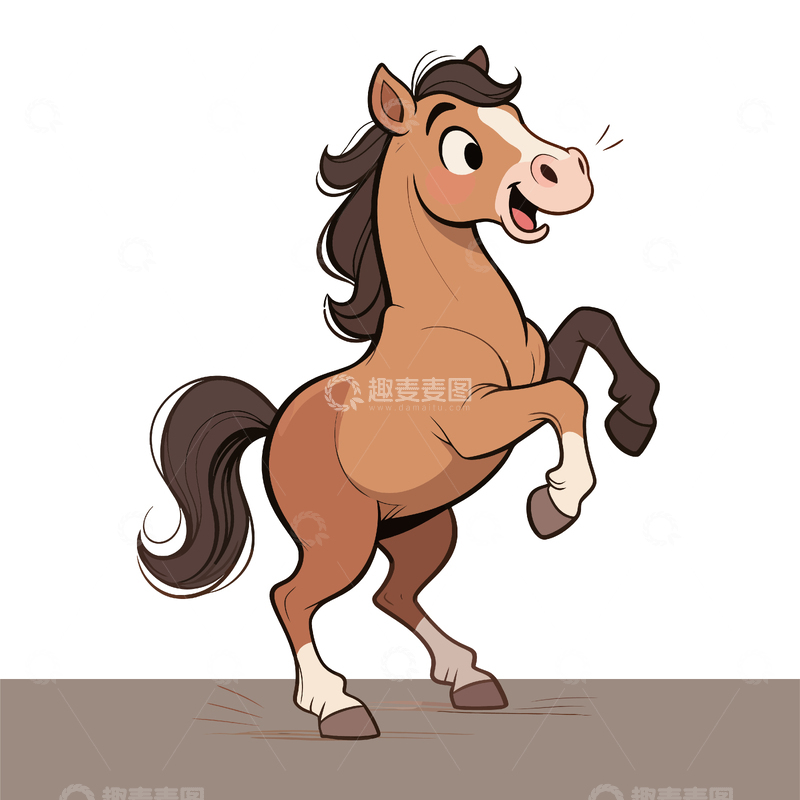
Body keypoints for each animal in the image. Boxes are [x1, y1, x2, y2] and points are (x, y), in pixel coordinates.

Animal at [138, 46, 659, 740]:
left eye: (518, 115)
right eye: (463, 148)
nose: (568, 171)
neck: (459, 317)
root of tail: (274, 427)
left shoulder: (537, 368)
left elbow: (591, 325)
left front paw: (635, 420)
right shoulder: (476, 422)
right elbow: (563, 400)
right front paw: (555, 505)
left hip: (422, 528)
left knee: (393, 594)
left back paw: (469, 677)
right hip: (342, 541)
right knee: (291, 596)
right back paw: (336, 705)